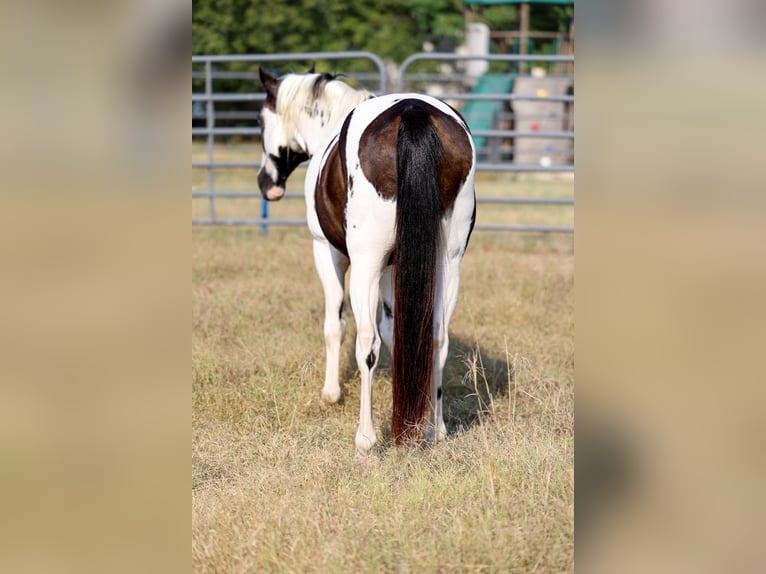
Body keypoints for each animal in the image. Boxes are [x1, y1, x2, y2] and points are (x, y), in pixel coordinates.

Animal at [257, 67, 476, 454]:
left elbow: (337, 326)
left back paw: (366, 437)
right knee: (437, 338)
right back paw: (434, 430)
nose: (266, 184)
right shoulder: (396, 266)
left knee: (367, 344)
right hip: (447, 262)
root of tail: (413, 110)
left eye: (260, 120)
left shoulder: (328, 253)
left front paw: (331, 394)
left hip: (365, 265)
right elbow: (397, 329)